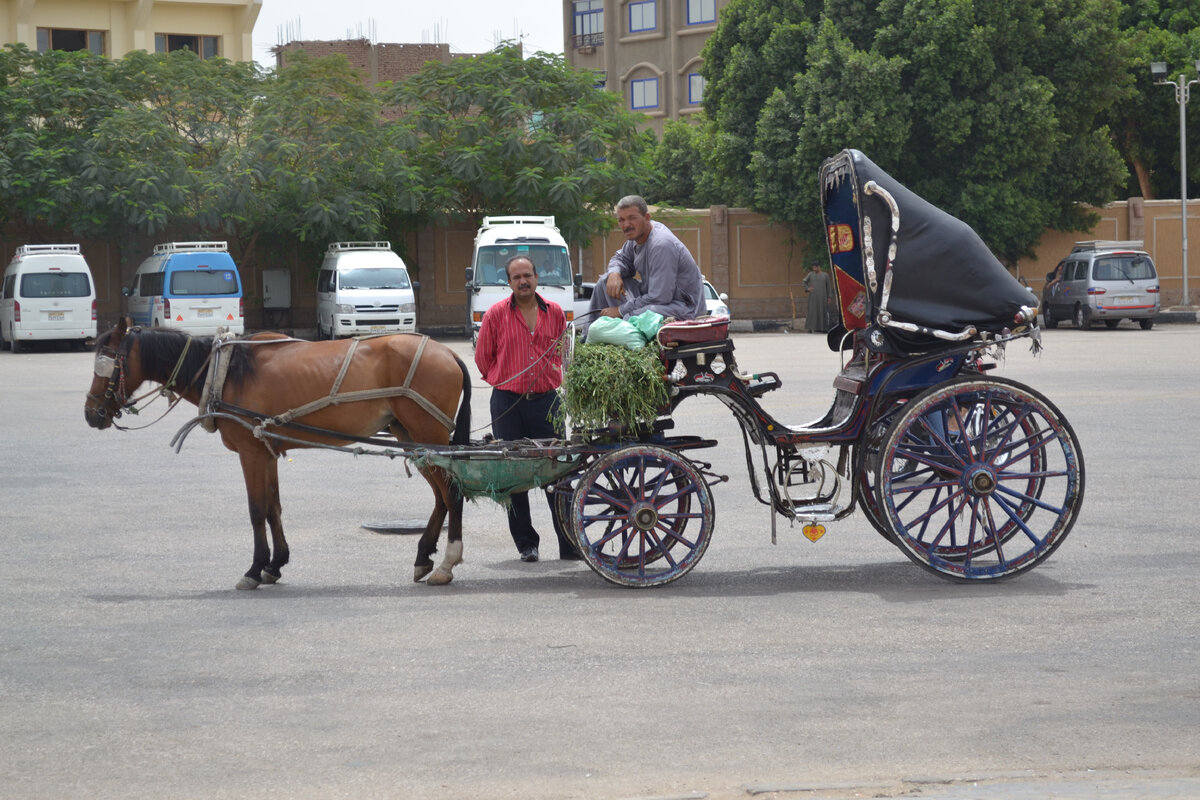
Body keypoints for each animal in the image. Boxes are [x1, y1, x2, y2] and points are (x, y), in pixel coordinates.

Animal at [83, 316, 472, 587]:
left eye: (105, 363)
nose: (90, 413)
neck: (226, 371)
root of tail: (448, 351)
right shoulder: (266, 450)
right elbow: (273, 507)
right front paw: (275, 564)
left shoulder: (250, 452)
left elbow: (257, 510)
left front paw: (255, 568)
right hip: (411, 437)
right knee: (441, 496)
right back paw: (424, 555)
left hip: (427, 433)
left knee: (452, 494)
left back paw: (447, 562)